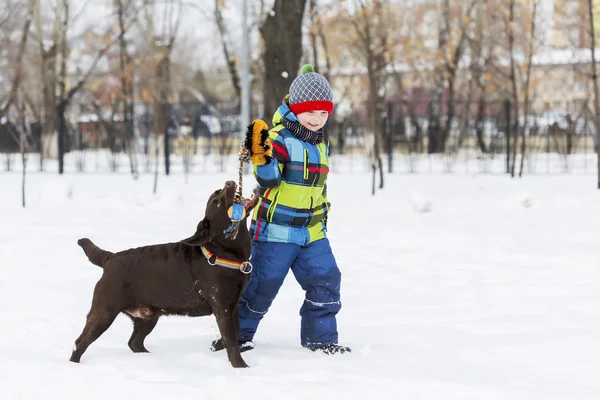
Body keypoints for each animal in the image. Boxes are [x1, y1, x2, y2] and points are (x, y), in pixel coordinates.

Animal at [69, 181, 258, 368]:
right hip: (105, 311)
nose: (229, 182)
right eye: (218, 202)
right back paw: (74, 365)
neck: (224, 252)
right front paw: (241, 367)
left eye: (219, 192)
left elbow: (236, 331)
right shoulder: (222, 306)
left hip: (148, 316)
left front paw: (217, 344)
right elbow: (231, 340)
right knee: (80, 342)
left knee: (134, 342)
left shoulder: (232, 304)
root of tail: (111, 257)